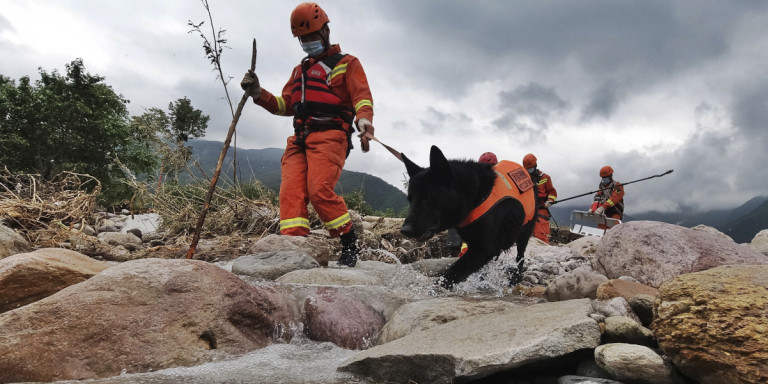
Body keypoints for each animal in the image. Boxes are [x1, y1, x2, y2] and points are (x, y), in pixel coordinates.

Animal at [400, 146, 536, 288]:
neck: (476, 196)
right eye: (410, 199)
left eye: (427, 198)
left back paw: (515, 277)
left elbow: (453, 273)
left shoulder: (483, 249)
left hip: (524, 233)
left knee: (520, 256)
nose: (405, 230)